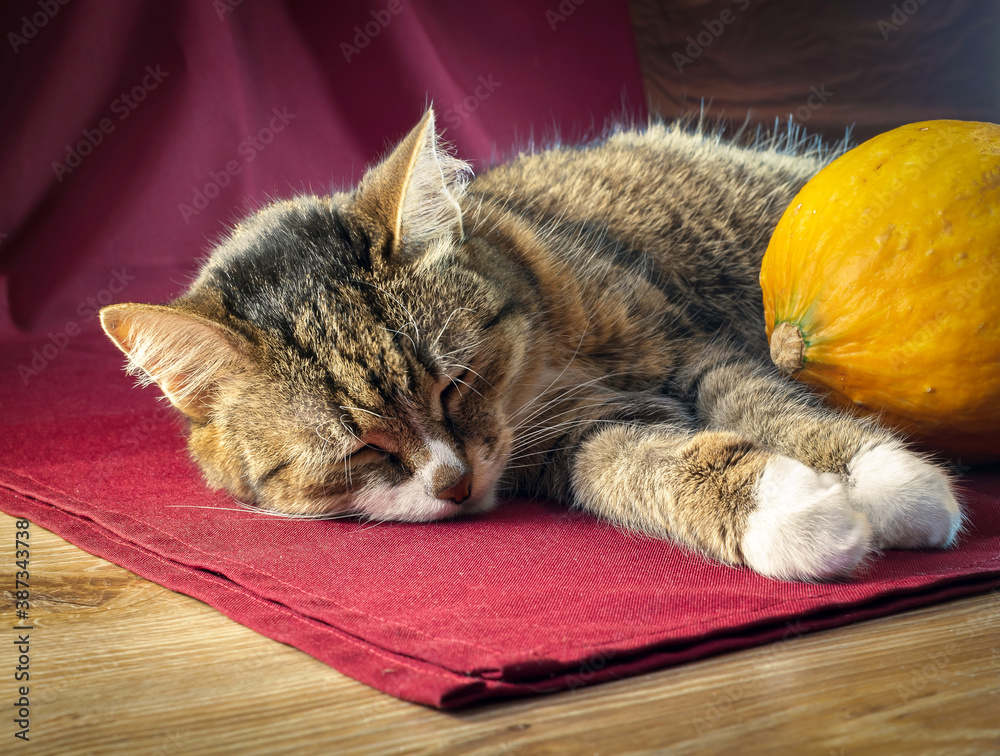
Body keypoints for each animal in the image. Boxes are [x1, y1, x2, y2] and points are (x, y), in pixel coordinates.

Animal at [99, 109, 960, 580]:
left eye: (454, 383)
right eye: (361, 451)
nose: (453, 485)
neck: (547, 362)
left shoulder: (685, 346)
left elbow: (769, 404)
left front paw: (886, 480)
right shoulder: (579, 438)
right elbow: (646, 466)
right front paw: (792, 510)